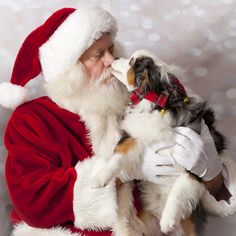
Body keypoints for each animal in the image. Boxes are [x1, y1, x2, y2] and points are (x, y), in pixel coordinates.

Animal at [93, 48, 231, 235]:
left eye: (131, 62)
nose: (114, 57)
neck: (159, 102)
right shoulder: (137, 134)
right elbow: (119, 155)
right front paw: (101, 177)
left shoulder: (198, 158)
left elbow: (181, 186)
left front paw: (168, 219)